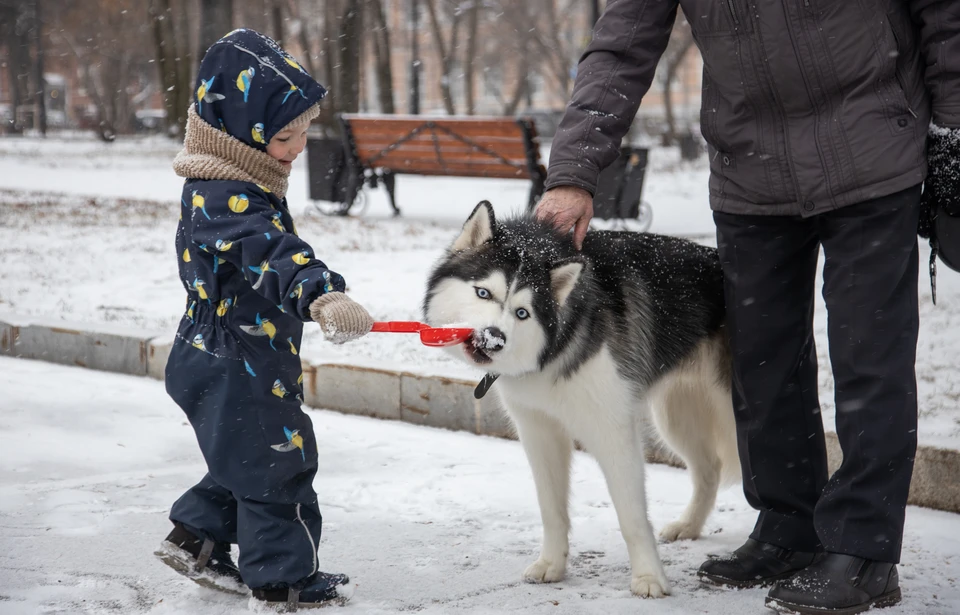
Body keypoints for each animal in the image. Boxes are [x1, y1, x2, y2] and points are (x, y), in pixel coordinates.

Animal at [422, 205, 744, 600]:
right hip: (676, 415)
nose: (494, 338)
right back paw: (689, 525)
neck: (558, 343)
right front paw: (552, 564)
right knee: (709, 468)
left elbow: (631, 515)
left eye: (522, 312)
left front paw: (649, 577)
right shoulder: (539, 430)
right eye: (483, 292)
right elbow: (551, 507)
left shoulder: (612, 428)